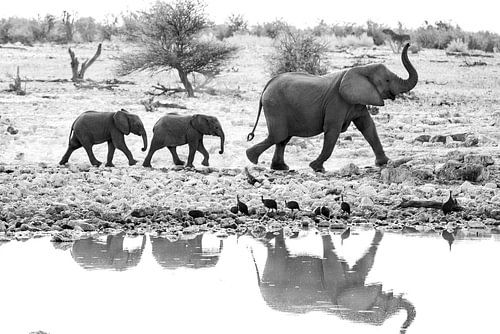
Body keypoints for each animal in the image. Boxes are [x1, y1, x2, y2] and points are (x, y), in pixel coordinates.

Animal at [247, 42, 418, 171]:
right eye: (387, 80)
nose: (409, 43)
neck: (361, 69)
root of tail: (267, 85)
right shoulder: (337, 102)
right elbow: (332, 130)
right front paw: (316, 167)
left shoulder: (357, 102)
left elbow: (368, 127)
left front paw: (384, 163)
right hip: (275, 106)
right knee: (278, 136)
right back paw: (251, 158)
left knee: (283, 139)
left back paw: (280, 167)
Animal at [254, 231, 414, 332]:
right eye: (384, 310)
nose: (400, 329)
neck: (343, 313)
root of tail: (260, 287)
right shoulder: (333, 280)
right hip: (275, 273)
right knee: (277, 251)